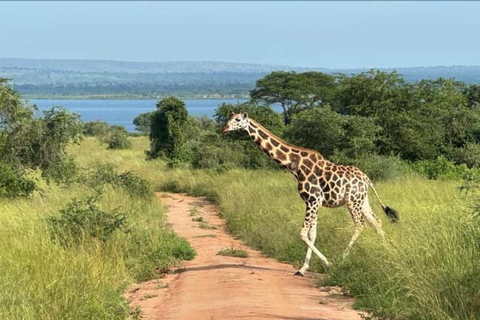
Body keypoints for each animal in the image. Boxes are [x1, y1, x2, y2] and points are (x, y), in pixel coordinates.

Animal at [221, 112, 398, 276]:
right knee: (376, 222)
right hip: (362, 200)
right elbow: (312, 234)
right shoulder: (312, 202)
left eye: (238, 120)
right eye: (229, 118)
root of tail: (367, 179)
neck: (295, 165)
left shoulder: (313, 200)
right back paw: (386, 251)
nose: (224, 128)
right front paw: (303, 268)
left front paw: (327, 263)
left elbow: (303, 234)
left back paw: (343, 258)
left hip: (352, 201)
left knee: (360, 224)